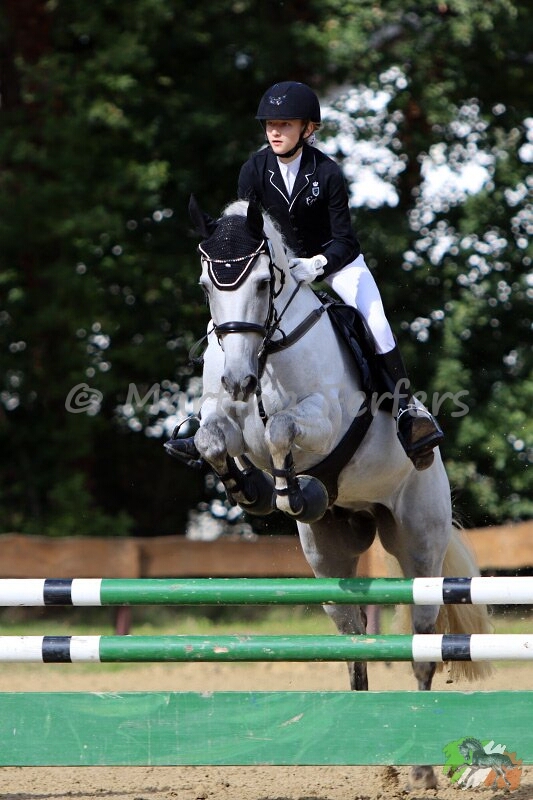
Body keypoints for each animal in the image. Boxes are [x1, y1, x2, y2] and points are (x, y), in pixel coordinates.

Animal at [186, 196, 492, 790]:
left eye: (264, 283)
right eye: (209, 285)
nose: (237, 380)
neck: (266, 354)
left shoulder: (323, 421)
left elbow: (282, 430)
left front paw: (288, 492)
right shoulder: (222, 419)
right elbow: (213, 440)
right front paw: (251, 489)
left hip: (418, 546)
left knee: (422, 651)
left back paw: (420, 771)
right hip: (330, 562)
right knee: (353, 651)